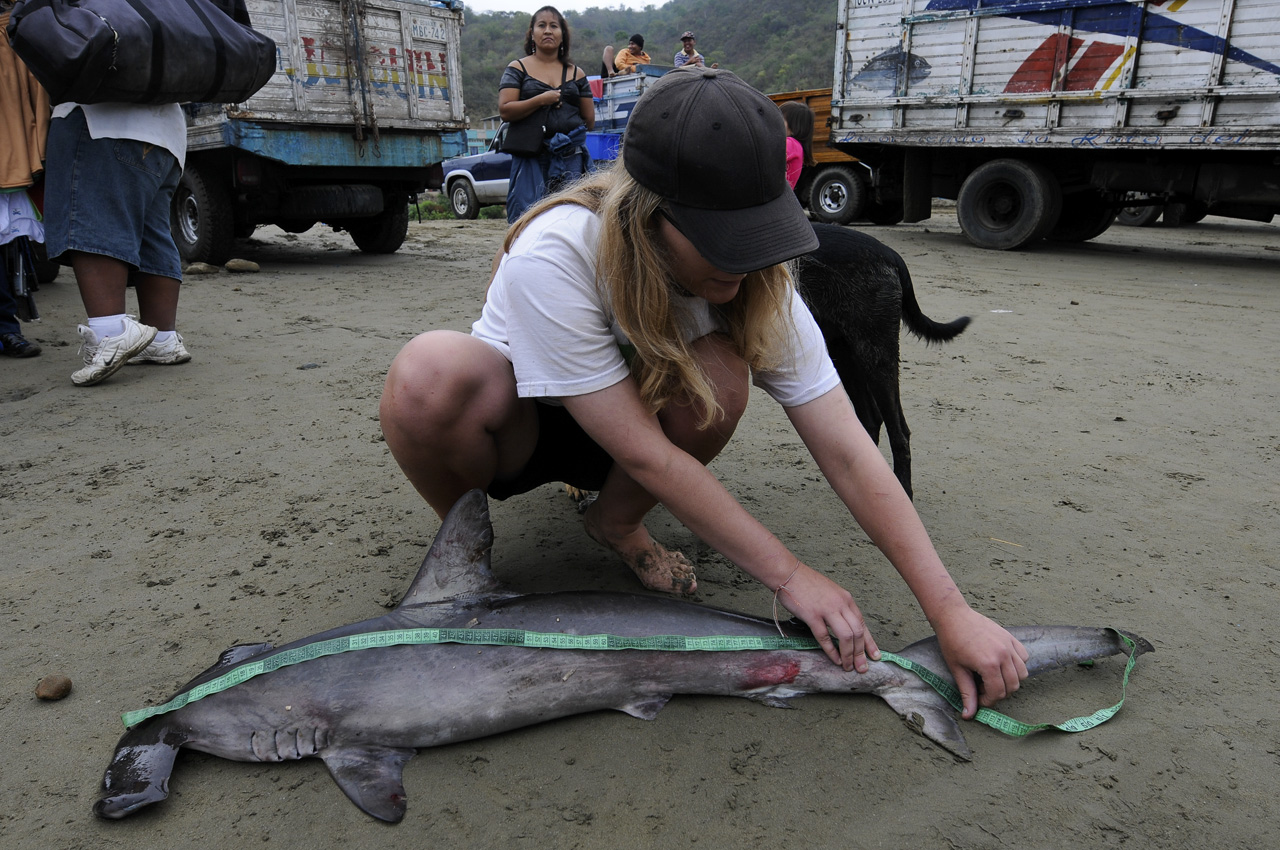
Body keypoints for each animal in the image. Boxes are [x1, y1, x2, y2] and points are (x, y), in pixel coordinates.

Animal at [788, 224, 967, 499]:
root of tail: (890, 254)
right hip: (846, 355)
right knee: (872, 420)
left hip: (876, 357)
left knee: (899, 433)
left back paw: (902, 490)